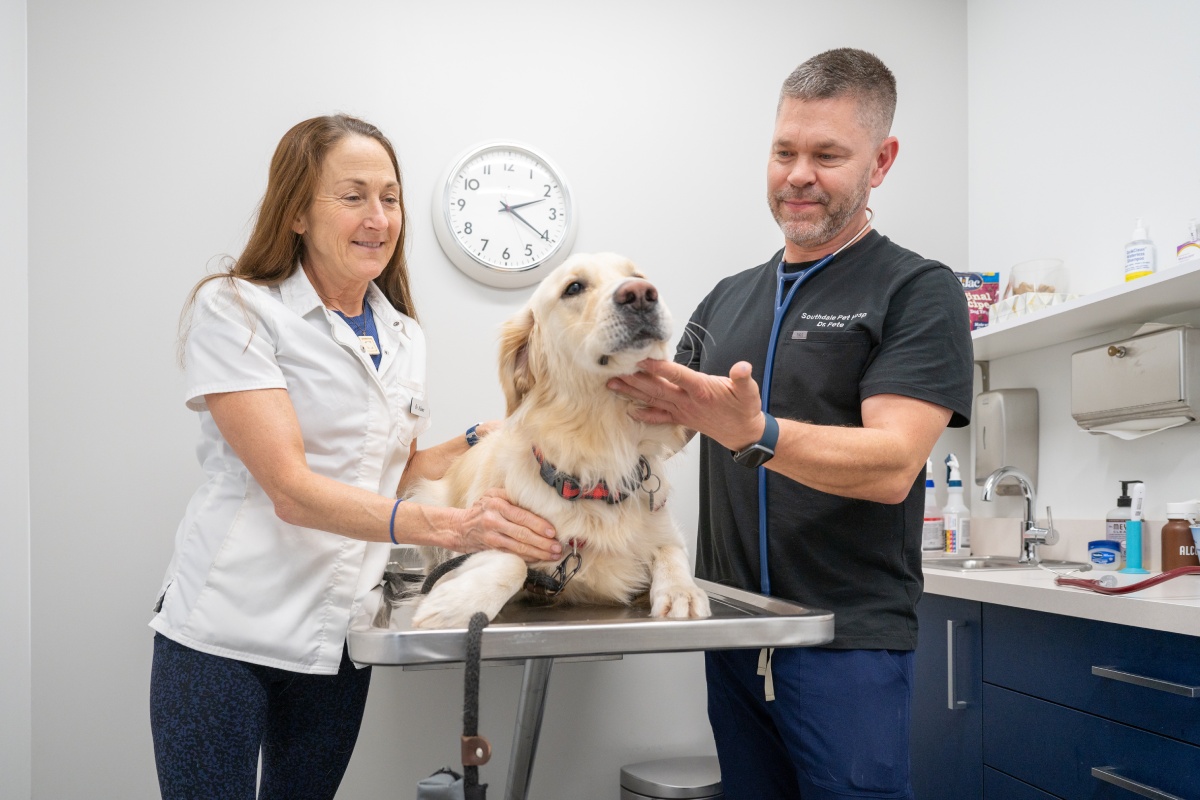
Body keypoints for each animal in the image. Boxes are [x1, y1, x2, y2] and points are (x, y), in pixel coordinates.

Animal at [412, 253, 710, 628]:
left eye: (639, 276)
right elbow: (511, 561)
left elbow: (671, 550)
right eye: (574, 287)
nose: (642, 295)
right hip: (428, 499)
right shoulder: (495, 529)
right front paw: (457, 603)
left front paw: (682, 592)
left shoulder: (662, 529)